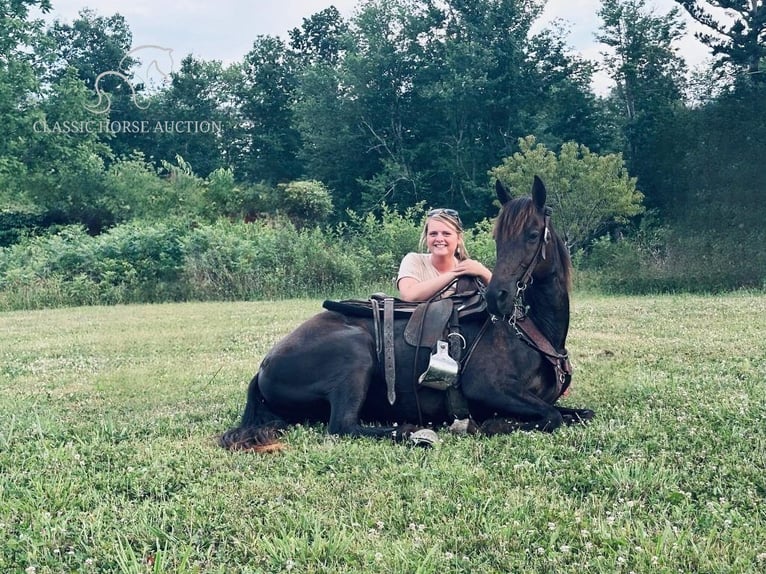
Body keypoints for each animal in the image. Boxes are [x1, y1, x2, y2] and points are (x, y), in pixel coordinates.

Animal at [219, 178, 596, 452]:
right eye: (498, 238)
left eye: (532, 235)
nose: (496, 297)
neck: (528, 332)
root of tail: (263, 366)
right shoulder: (489, 388)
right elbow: (550, 416)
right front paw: (491, 423)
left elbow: (577, 413)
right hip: (354, 356)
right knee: (343, 427)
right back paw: (413, 432)